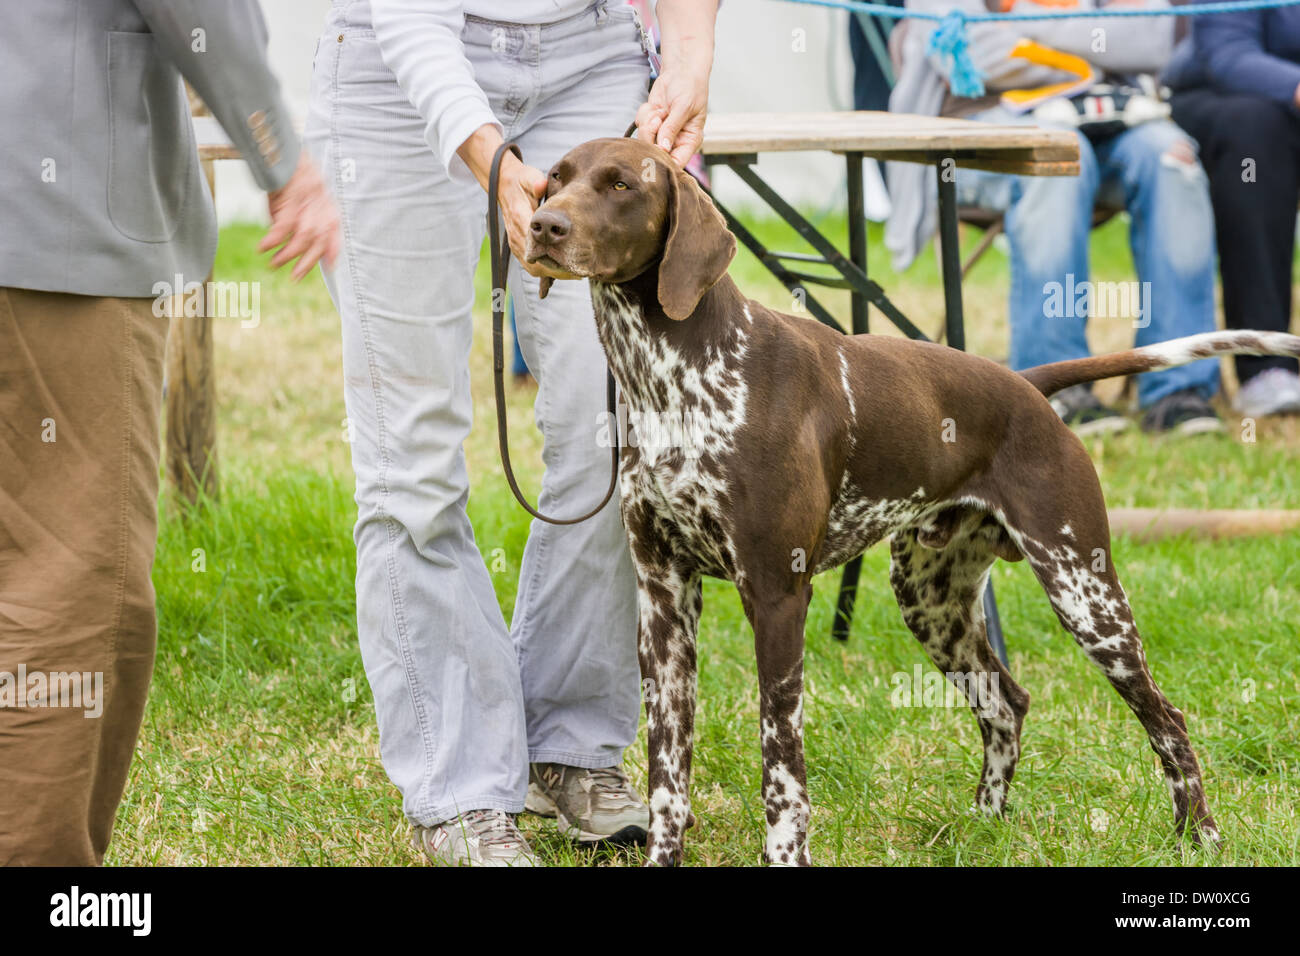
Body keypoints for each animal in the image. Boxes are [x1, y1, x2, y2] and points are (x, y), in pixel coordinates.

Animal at [522, 136, 1294, 868]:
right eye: (555, 178)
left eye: (622, 184)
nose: (542, 225)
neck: (672, 376)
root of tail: (1027, 385)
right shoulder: (664, 599)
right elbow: (668, 773)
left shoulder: (775, 593)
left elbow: (781, 768)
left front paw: (787, 854)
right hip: (933, 601)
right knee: (1007, 702)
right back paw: (985, 822)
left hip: (1087, 594)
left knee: (1167, 720)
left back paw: (1200, 834)